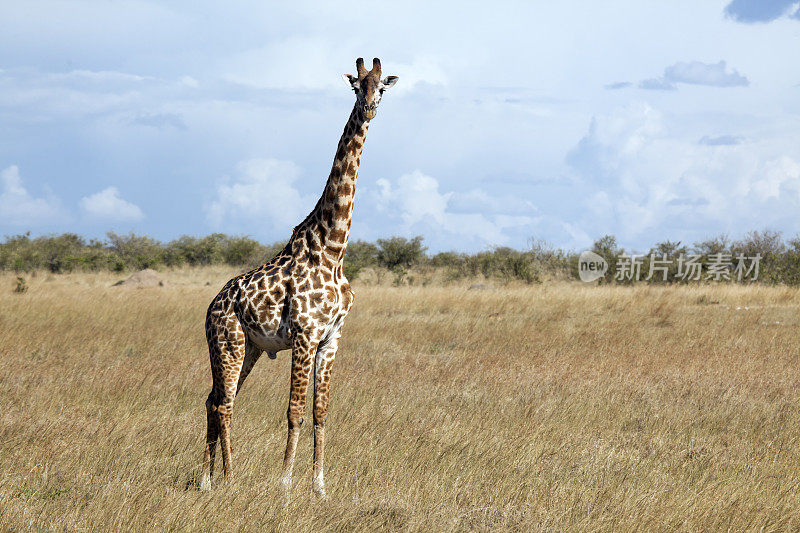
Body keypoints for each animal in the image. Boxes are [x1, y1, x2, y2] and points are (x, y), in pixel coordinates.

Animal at [202, 57, 398, 494]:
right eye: (356, 86)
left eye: (382, 87)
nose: (369, 109)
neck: (333, 248)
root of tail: (211, 308)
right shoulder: (306, 334)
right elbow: (294, 411)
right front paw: (285, 482)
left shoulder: (331, 338)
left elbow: (321, 412)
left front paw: (320, 486)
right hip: (228, 342)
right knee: (224, 403)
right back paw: (229, 478)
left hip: (250, 348)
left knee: (212, 399)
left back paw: (205, 479)